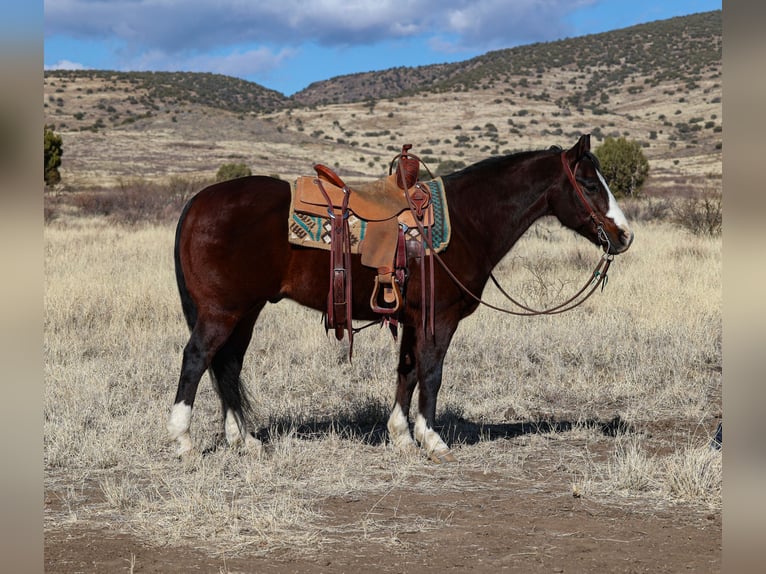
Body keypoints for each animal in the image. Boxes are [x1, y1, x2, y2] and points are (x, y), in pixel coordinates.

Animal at [168, 134, 636, 464]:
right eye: (590, 183)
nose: (624, 236)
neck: (468, 220)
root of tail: (196, 202)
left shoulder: (412, 319)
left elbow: (407, 371)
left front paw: (401, 435)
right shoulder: (439, 318)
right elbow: (431, 373)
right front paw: (432, 439)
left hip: (246, 312)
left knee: (227, 365)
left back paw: (244, 441)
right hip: (221, 312)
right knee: (197, 359)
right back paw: (183, 442)